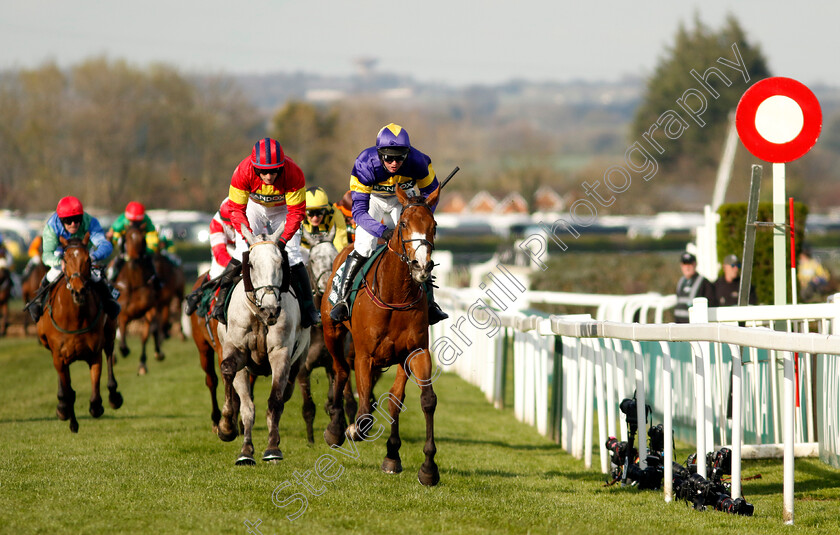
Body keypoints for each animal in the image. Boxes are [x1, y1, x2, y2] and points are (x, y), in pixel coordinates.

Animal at [36, 234, 122, 432]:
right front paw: (70, 418)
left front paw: (96, 407)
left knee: (109, 352)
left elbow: (95, 393)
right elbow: (68, 391)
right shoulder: (59, 356)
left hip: (110, 331)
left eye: (88, 260)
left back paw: (114, 396)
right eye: (66, 260)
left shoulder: (94, 353)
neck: (74, 317)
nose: (79, 291)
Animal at [113, 224, 161, 374]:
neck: (135, 283)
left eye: (141, 238)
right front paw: (124, 349)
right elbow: (121, 328)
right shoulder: (122, 312)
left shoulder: (149, 310)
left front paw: (142, 364)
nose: (134, 260)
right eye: (127, 238)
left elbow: (146, 335)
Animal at [217, 225, 308, 464]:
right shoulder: (236, 351)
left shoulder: (281, 353)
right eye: (251, 264)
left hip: (299, 359)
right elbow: (244, 401)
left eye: (280, 262)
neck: (258, 316)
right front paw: (233, 435)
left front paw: (273, 448)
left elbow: (275, 400)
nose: (271, 309)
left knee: (286, 392)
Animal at [320, 186, 440, 488]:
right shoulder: (365, 356)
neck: (395, 294)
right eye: (404, 224)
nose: (421, 266)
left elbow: (420, 401)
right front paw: (351, 428)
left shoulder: (415, 353)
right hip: (331, 330)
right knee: (340, 371)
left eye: (433, 225)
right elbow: (364, 415)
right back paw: (336, 428)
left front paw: (425, 466)